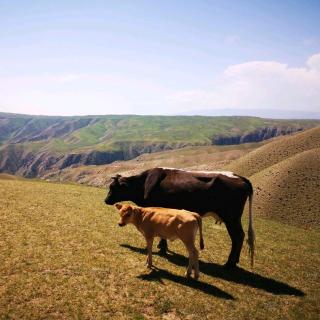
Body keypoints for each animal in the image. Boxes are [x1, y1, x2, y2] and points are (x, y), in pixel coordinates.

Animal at [105, 168, 255, 268]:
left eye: (113, 187)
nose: (106, 200)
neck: (144, 185)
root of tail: (240, 177)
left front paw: (162, 247)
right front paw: (162, 246)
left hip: (232, 218)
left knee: (238, 236)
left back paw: (229, 264)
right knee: (240, 236)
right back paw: (234, 261)